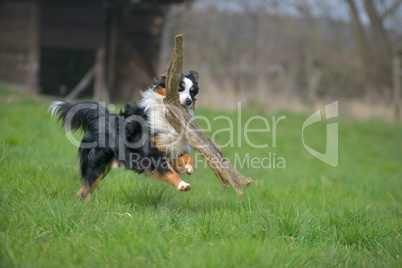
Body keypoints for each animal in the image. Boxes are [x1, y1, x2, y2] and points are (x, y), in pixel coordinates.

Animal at [49, 70, 200, 200]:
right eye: (179, 88)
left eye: (192, 92)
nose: (188, 101)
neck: (167, 116)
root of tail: (99, 118)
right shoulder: (152, 155)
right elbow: (169, 172)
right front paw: (182, 185)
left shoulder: (171, 152)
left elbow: (188, 157)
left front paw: (189, 168)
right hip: (97, 164)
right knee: (86, 187)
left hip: (103, 168)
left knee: (84, 190)